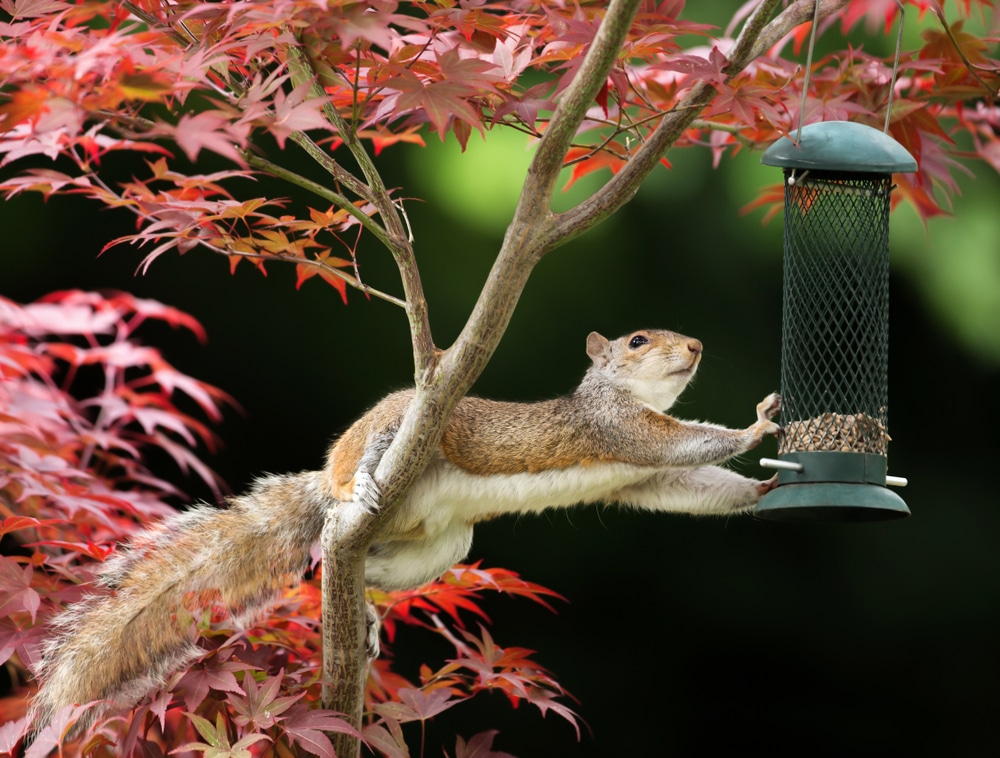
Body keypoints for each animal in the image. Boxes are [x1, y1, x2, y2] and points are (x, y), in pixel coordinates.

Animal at [29, 332, 780, 736]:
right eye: (637, 341)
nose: (696, 346)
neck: (624, 395)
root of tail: (326, 489)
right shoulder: (618, 430)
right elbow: (686, 444)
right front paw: (756, 428)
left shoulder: (640, 476)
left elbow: (688, 487)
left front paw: (764, 491)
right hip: (393, 428)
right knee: (357, 478)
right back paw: (358, 489)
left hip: (443, 546)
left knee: (355, 570)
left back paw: (361, 608)